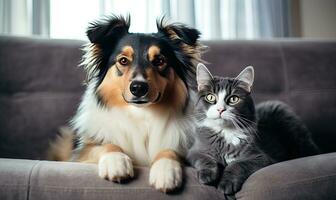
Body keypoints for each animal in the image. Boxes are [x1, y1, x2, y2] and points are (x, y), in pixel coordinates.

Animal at [48, 14, 205, 191]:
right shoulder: (81, 153)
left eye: (159, 60)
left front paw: (166, 171)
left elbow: (170, 151)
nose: (138, 88)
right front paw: (116, 162)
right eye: (123, 61)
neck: (141, 114)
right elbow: (106, 145)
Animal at [188, 63, 318, 199]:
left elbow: (238, 164)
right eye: (210, 97)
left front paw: (226, 184)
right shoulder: (194, 151)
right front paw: (207, 176)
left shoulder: (261, 157)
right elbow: (204, 159)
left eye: (234, 99)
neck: (225, 132)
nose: (220, 109)